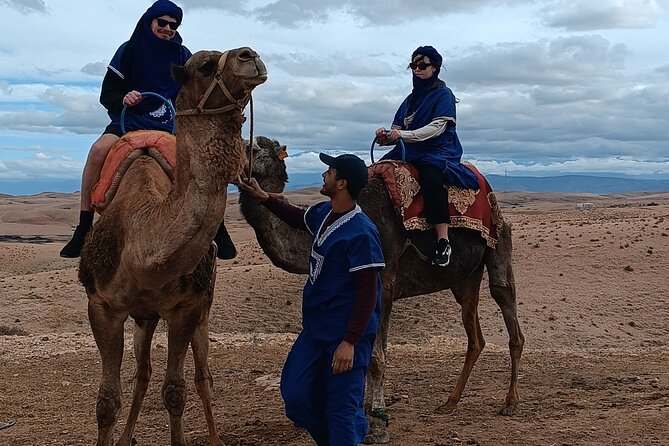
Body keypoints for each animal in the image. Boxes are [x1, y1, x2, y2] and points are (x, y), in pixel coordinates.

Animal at [78, 47, 267, 446]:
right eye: (205, 66)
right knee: (142, 372)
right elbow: (107, 400)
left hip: (202, 305)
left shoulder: (187, 308)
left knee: (201, 374)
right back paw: (126, 437)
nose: (250, 55)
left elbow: (176, 390)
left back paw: (215, 437)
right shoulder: (102, 306)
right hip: (144, 316)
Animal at [239, 136, 524, 444]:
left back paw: (510, 402)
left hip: (498, 245)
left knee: (507, 309)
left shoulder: (382, 285)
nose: (235, 165)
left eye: (253, 148)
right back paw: (450, 402)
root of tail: (496, 206)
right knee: (475, 336)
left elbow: (376, 358)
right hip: (465, 279)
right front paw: (364, 414)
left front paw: (378, 424)